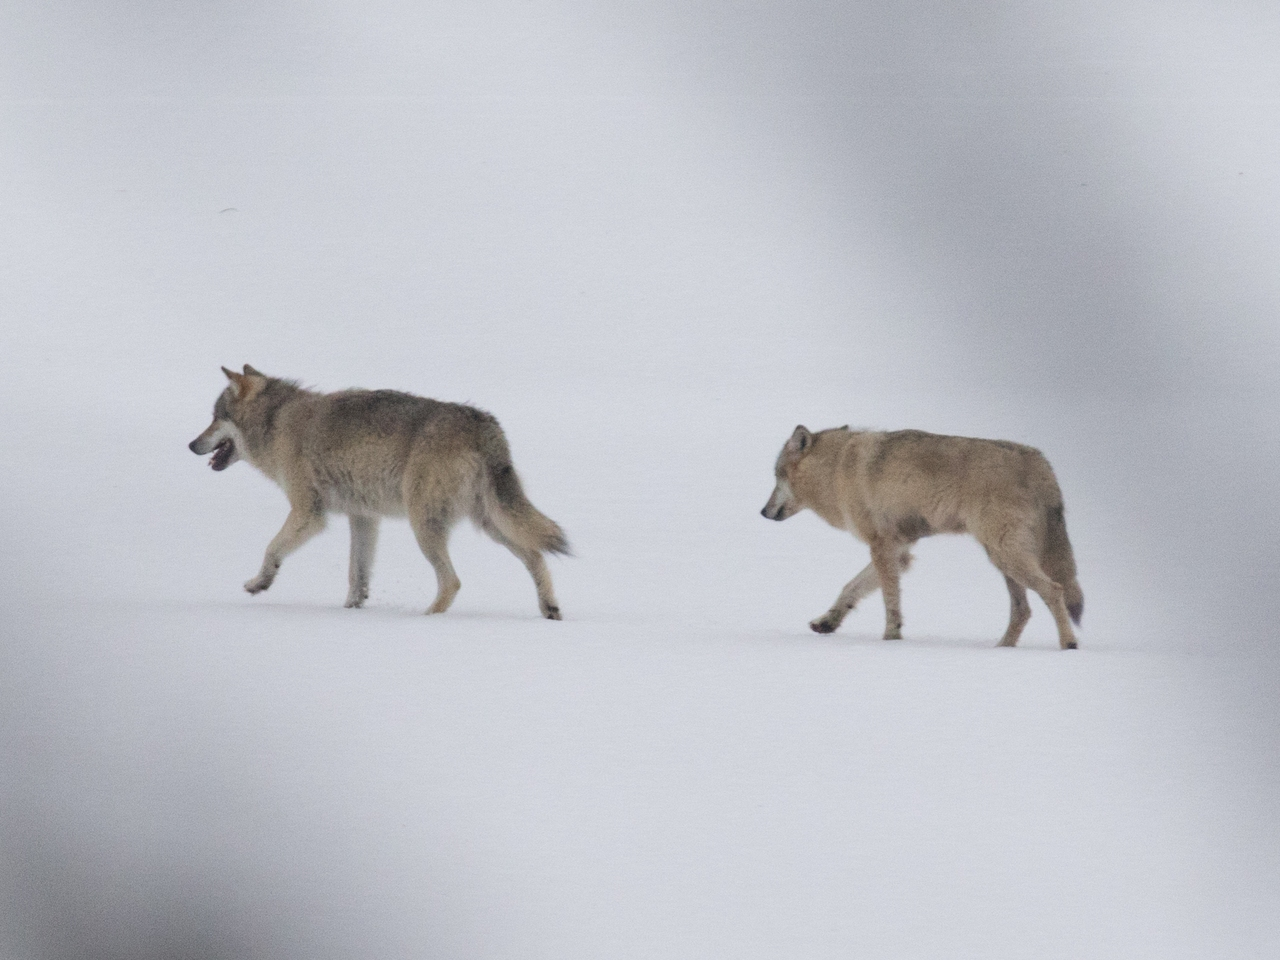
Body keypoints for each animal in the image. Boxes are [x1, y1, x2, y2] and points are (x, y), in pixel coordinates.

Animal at [188, 363, 570, 619]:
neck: (276, 420)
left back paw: (427, 619)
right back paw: (550, 609)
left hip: (425, 525)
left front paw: (259, 584)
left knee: (453, 582)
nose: (191, 445)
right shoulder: (363, 518)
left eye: (215, 417)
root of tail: (482, 422)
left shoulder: (308, 513)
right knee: (536, 555)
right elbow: (357, 576)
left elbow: (271, 549)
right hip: (491, 524)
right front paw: (352, 611)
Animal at [762, 430, 1085, 650]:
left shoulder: (881, 547)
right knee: (1023, 610)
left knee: (1054, 591)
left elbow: (891, 603)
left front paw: (891, 638)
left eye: (776, 476)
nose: (762, 512)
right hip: (1002, 560)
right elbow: (849, 589)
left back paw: (1068, 645)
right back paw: (1001, 650)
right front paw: (827, 622)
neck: (837, 467)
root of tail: (1039, 461)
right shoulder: (898, 551)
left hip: (1006, 556)